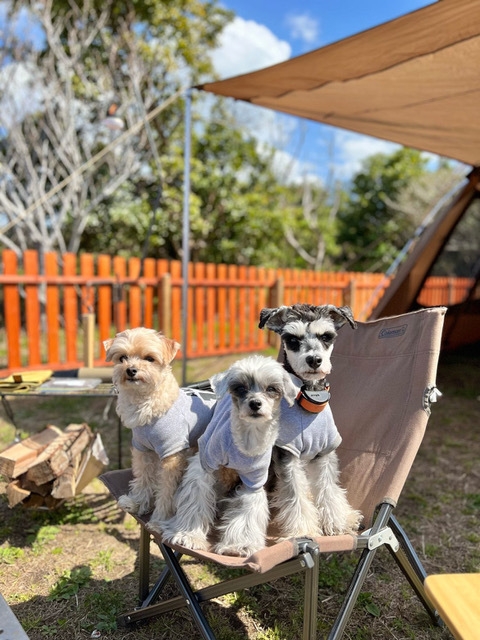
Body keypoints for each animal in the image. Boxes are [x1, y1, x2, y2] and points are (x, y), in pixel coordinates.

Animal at [104, 328, 215, 532]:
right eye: (122, 357)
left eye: (149, 358)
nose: (131, 370)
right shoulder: (142, 449)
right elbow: (143, 478)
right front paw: (137, 503)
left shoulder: (172, 456)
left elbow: (167, 491)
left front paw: (158, 520)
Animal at [161, 355, 297, 556]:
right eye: (241, 388)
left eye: (271, 389)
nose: (255, 403)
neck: (246, 440)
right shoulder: (204, 464)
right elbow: (196, 497)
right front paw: (188, 536)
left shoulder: (254, 480)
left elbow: (247, 511)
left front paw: (239, 546)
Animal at [258, 304, 362, 538]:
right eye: (292, 339)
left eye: (326, 336)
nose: (314, 360)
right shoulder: (288, 456)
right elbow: (295, 494)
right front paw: (303, 529)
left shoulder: (324, 453)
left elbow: (328, 488)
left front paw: (337, 522)